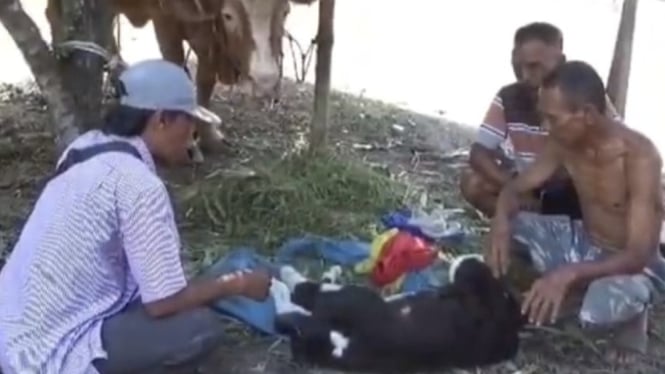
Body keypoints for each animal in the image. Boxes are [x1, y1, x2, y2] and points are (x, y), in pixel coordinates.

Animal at [46, 0, 316, 149]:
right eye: (228, 15)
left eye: (285, 12)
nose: (265, 80)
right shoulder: (164, 17)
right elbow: (174, 64)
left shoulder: (207, 35)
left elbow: (205, 80)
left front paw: (207, 135)